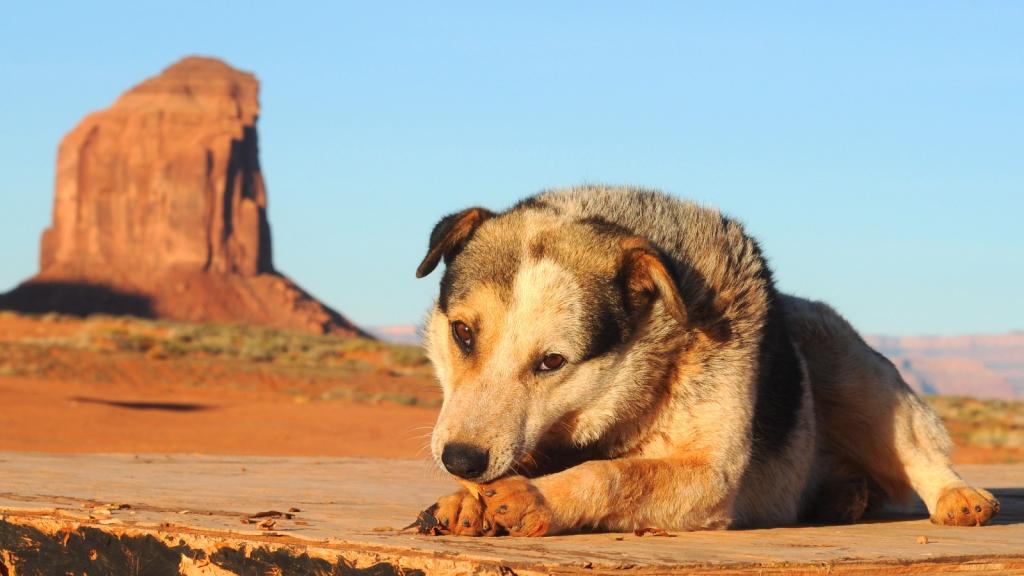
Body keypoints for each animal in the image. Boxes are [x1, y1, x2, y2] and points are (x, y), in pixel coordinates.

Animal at [411, 184, 995, 532]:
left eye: (552, 362)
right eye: (463, 333)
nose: (461, 459)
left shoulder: (711, 476)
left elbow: (615, 475)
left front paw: (538, 497)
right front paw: (463, 499)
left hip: (848, 364)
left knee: (918, 451)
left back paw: (957, 497)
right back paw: (843, 497)